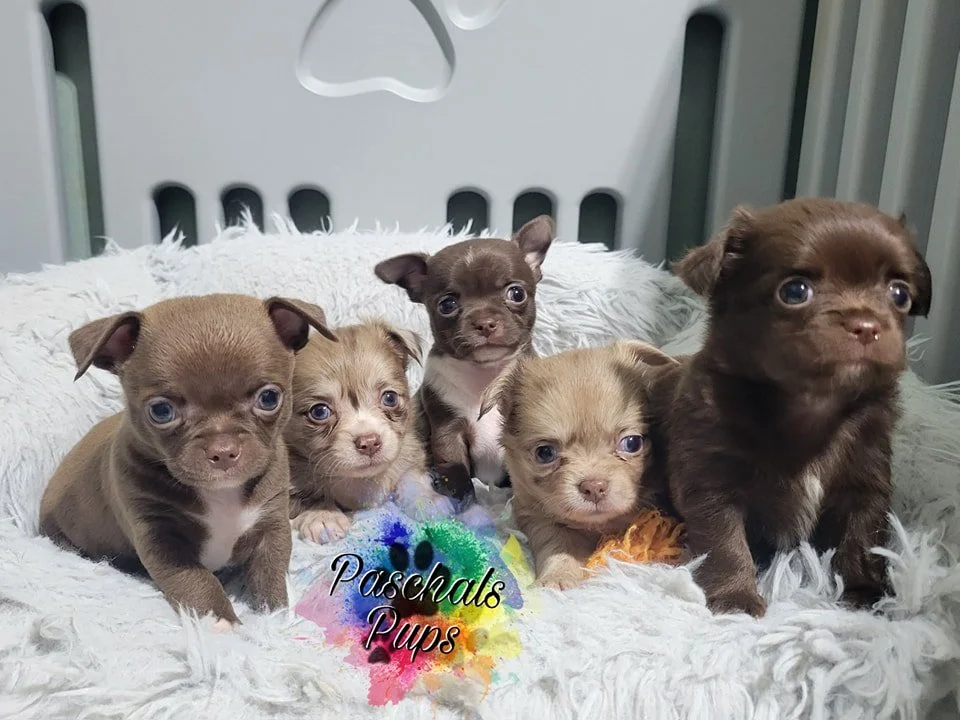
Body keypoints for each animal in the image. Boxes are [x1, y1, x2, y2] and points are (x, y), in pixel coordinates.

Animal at [39, 294, 336, 627]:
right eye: (161, 411)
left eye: (269, 398)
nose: (223, 449)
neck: (221, 493)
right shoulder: (162, 539)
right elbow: (196, 581)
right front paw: (220, 624)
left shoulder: (271, 525)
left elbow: (269, 576)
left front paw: (273, 619)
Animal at [286, 320, 461, 543]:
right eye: (319, 411)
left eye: (390, 398)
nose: (369, 442)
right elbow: (307, 496)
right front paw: (323, 515)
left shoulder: (410, 451)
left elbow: (411, 476)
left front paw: (427, 499)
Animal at [374, 215, 555, 489]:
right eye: (447, 305)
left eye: (517, 293)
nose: (485, 323)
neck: (485, 374)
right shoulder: (449, 431)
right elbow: (457, 472)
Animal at [479, 341, 678, 589]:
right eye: (545, 453)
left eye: (632, 443)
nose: (594, 487)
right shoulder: (539, 518)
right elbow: (558, 547)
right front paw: (557, 577)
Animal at [655, 198, 932, 617]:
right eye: (795, 291)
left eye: (899, 294)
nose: (866, 325)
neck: (813, 403)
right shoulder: (712, 481)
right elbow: (725, 543)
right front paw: (736, 599)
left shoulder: (865, 484)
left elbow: (862, 539)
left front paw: (865, 594)